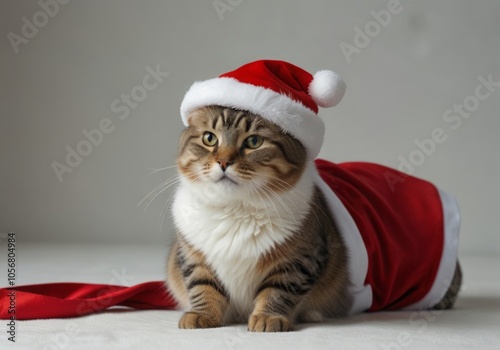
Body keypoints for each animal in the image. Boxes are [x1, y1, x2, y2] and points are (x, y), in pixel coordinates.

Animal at [166, 105, 462, 332]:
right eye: (209, 138)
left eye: (253, 142)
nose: (224, 162)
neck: (236, 210)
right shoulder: (193, 256)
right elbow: (202, 286)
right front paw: (202, 315)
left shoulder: (299, 260)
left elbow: (277, 291)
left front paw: (268, 317)